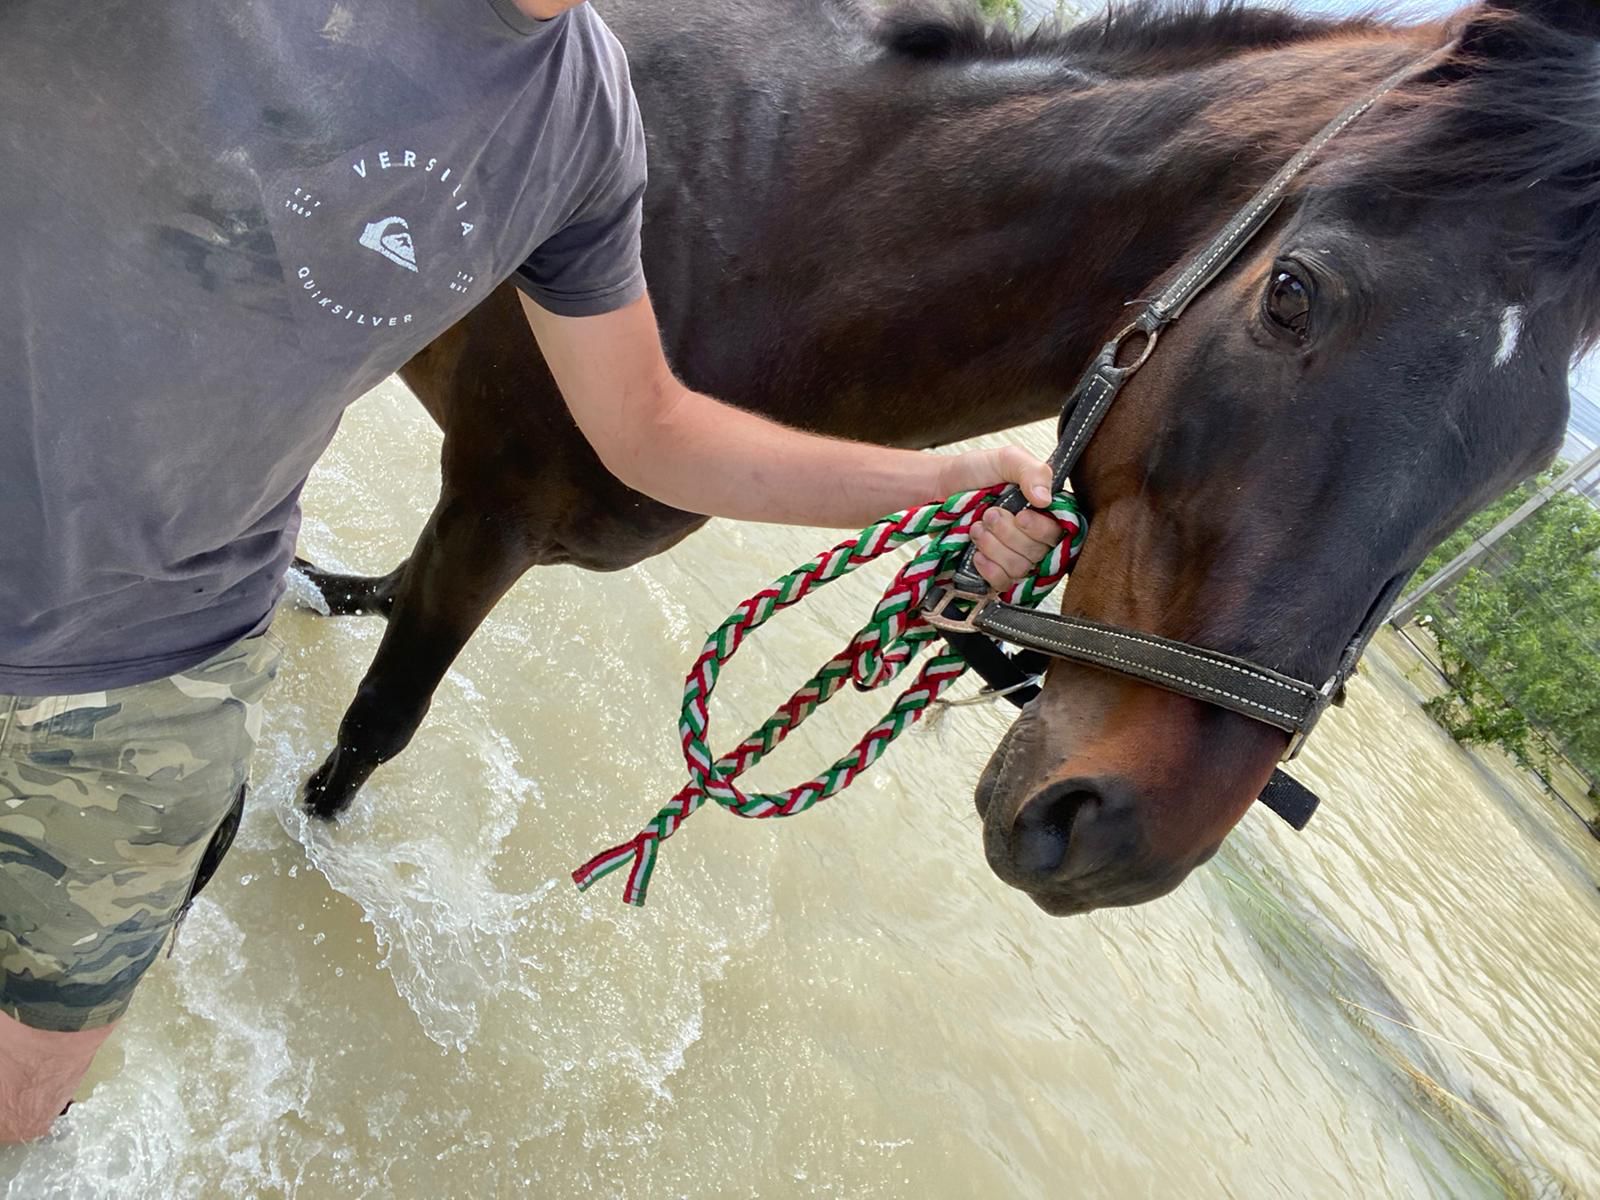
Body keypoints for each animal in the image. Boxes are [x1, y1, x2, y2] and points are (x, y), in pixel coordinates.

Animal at [294, 0, 1593, 915]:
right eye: (1291, 294)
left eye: (1524, 461)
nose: (1122, 834)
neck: (776, 210)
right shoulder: (493, 507)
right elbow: (376, 726)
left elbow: (373, 601)